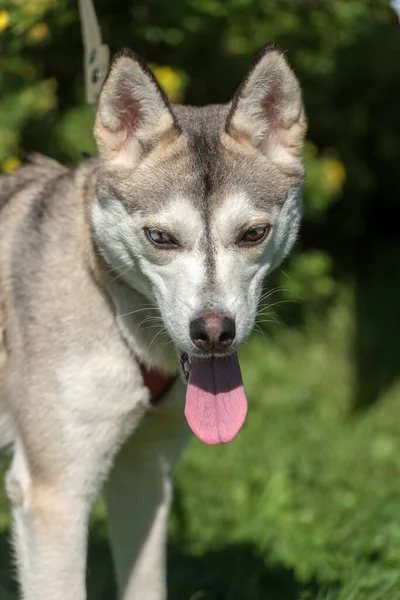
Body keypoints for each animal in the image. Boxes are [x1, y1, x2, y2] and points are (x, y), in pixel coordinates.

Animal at [0, 44, 306, 596]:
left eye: (253, 233)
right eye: (160, 238)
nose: (213, 332)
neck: (106, 295)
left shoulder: (144, 471)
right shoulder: (54, 494)